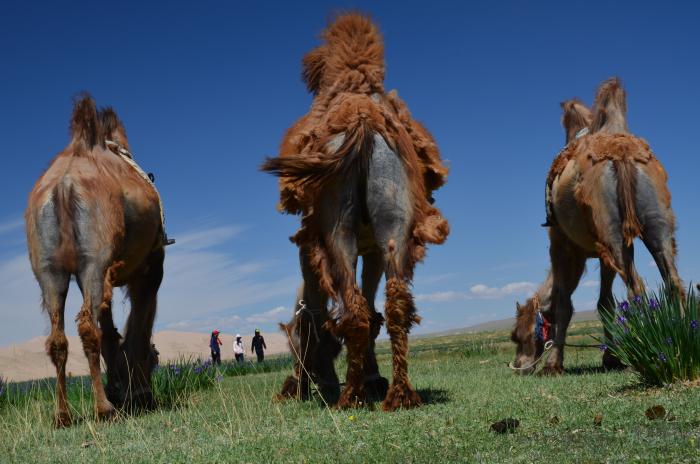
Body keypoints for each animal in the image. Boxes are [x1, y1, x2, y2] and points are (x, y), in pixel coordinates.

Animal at [25, 95, 165, 428]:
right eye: (155, 361)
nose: (146, 392)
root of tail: (62, 185)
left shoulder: (108, 277)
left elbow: (112, 331)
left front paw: (120, 388)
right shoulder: (151, 267)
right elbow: (137, 328)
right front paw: (134, 392)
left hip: (49, 271)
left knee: (59, 338)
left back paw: (62, 415)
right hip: (94, 261)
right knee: (88, 328)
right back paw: (104, 409)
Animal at [262, 13, 448, 410]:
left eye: (290, 343)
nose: (295, 381)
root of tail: (363, 119)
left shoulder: (310, 250)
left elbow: (315, 315)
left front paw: (317, 383)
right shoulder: (372, 248)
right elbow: (369, 303)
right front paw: (371, 379)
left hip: (337, 229)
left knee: (354, 310)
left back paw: (348, 396)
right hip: (391, 221)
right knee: (391, 306)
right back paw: (397, 394)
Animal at [512, 79, 680, 376]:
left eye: (520, 335)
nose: (519, 366)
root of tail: (621, 152)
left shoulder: (562, 245)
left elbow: (563, 304)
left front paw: (553, 365)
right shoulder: (601, 252)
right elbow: (605, 303)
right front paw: (610, 358)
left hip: (610, 228)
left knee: (636, 288)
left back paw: (648, 356)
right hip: (654, 221)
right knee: (672, 279)